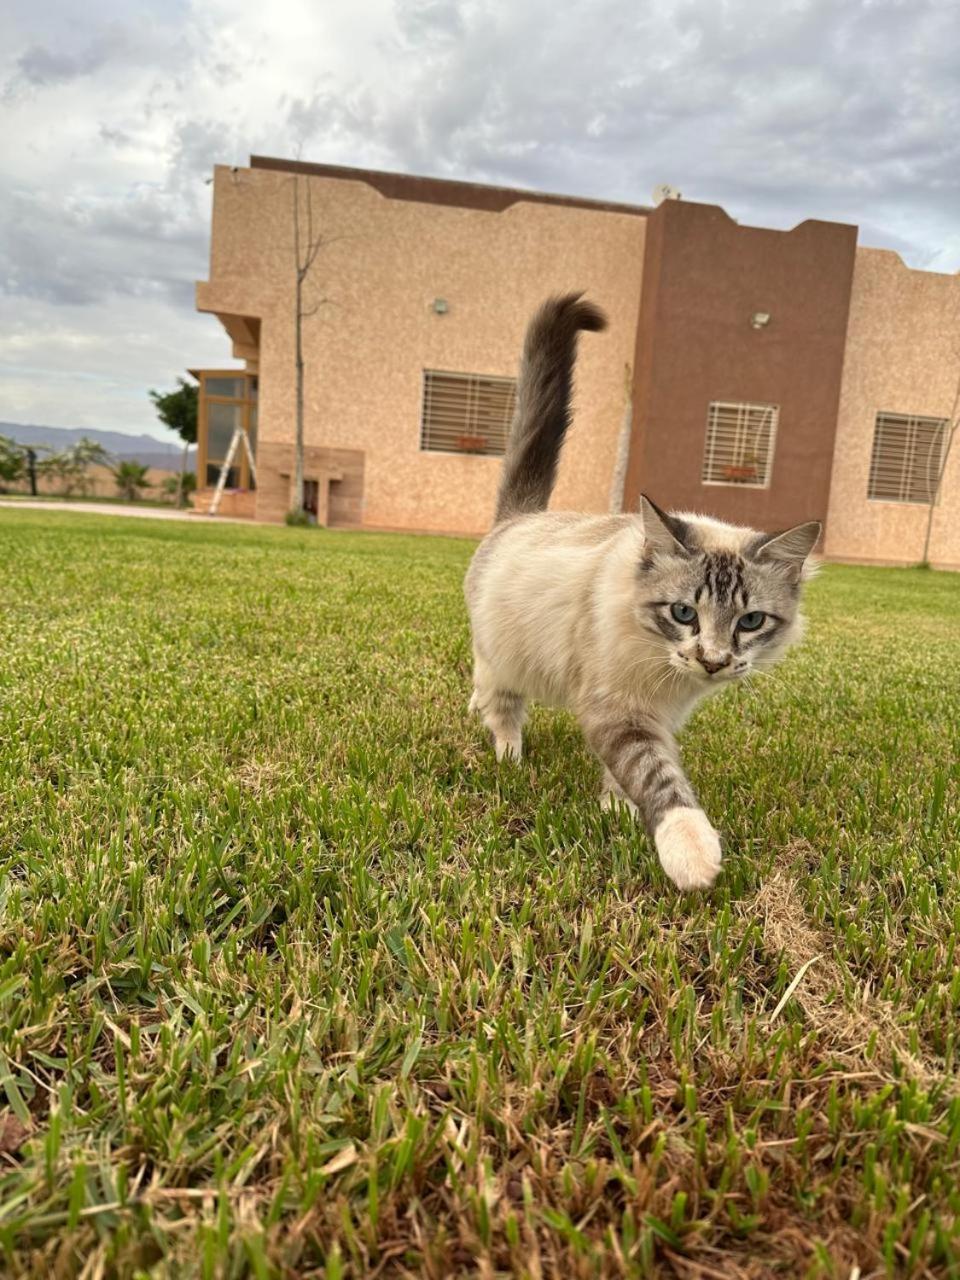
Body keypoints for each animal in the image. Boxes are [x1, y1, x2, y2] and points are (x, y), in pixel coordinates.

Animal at [465, 294, 819, 890]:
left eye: (750, 622)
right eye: (683, 613)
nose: (713, 661)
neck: (668, 678)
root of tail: (522, 516)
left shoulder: (660, 716)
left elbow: (621, 776)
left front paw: (615, 808)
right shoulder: (620, 711)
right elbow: (657, 777)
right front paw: (691, 853)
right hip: (506, 655)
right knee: (500, 701)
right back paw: (508, 753)